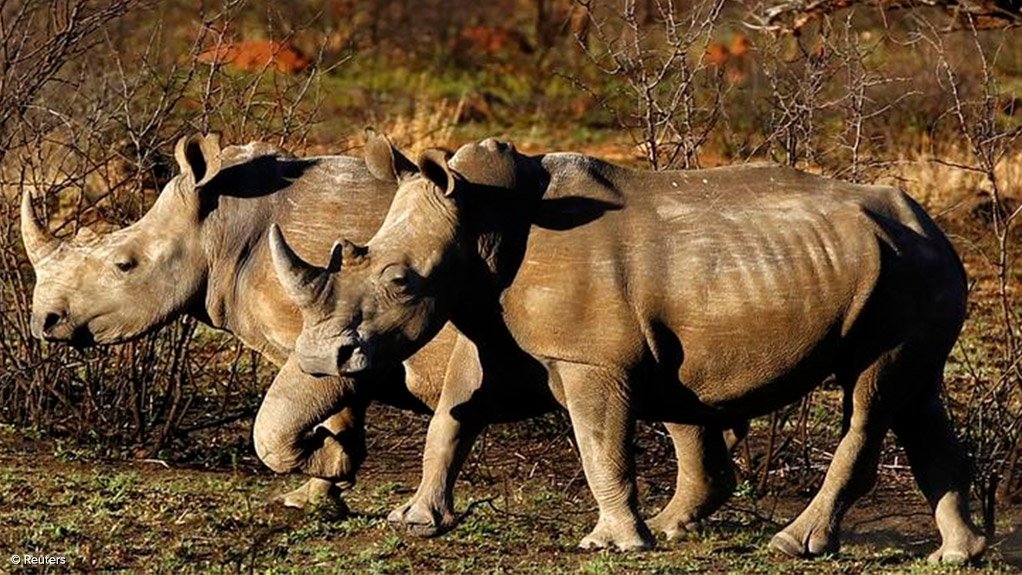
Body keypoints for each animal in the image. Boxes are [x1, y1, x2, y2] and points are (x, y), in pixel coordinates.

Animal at [21, 132, 737, 528]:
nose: (45, 323)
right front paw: (320, 491)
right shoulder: (335, 334)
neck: (220, 226)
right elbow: (330, 412)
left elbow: (279, 425)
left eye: (124, 264)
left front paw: (324, 472)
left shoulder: (319, 332)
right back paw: (683, 523)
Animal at [271, 138, 987, 563]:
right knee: (916, 397)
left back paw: (791, 545)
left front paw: (611, 545)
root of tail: (935, 227)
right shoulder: (495, 334)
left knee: (870, 392)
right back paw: (957, 556)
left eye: (399, 281)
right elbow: (452, 418)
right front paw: (416, 522)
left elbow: (599, 443)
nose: (324, 359)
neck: (479, 219)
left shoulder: (591, 359)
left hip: (904, 279)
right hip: (909, 268)